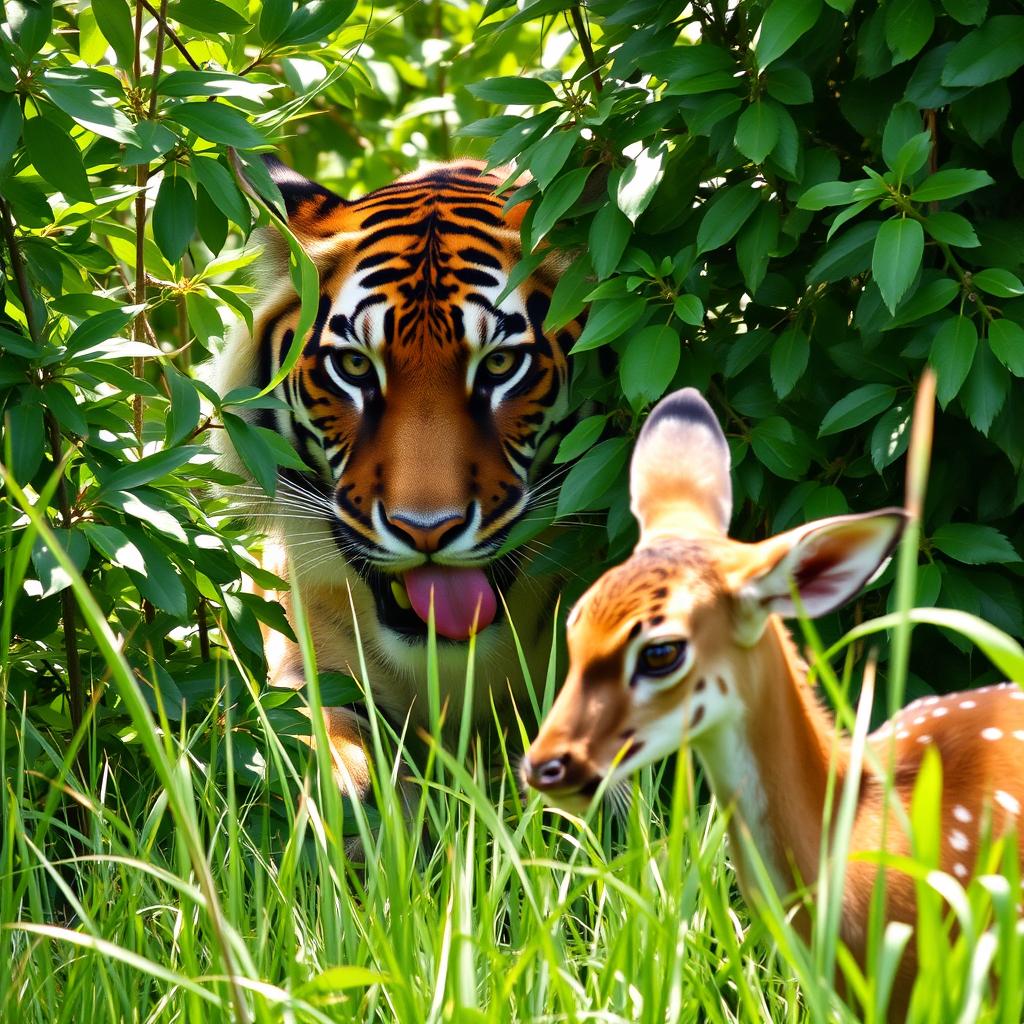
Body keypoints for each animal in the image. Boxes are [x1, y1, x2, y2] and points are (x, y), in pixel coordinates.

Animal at [213, 155, 583, 798]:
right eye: (355, 366)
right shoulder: (304, 655)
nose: (426, 530)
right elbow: (327, 732)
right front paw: (351, 798)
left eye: (501, 364)